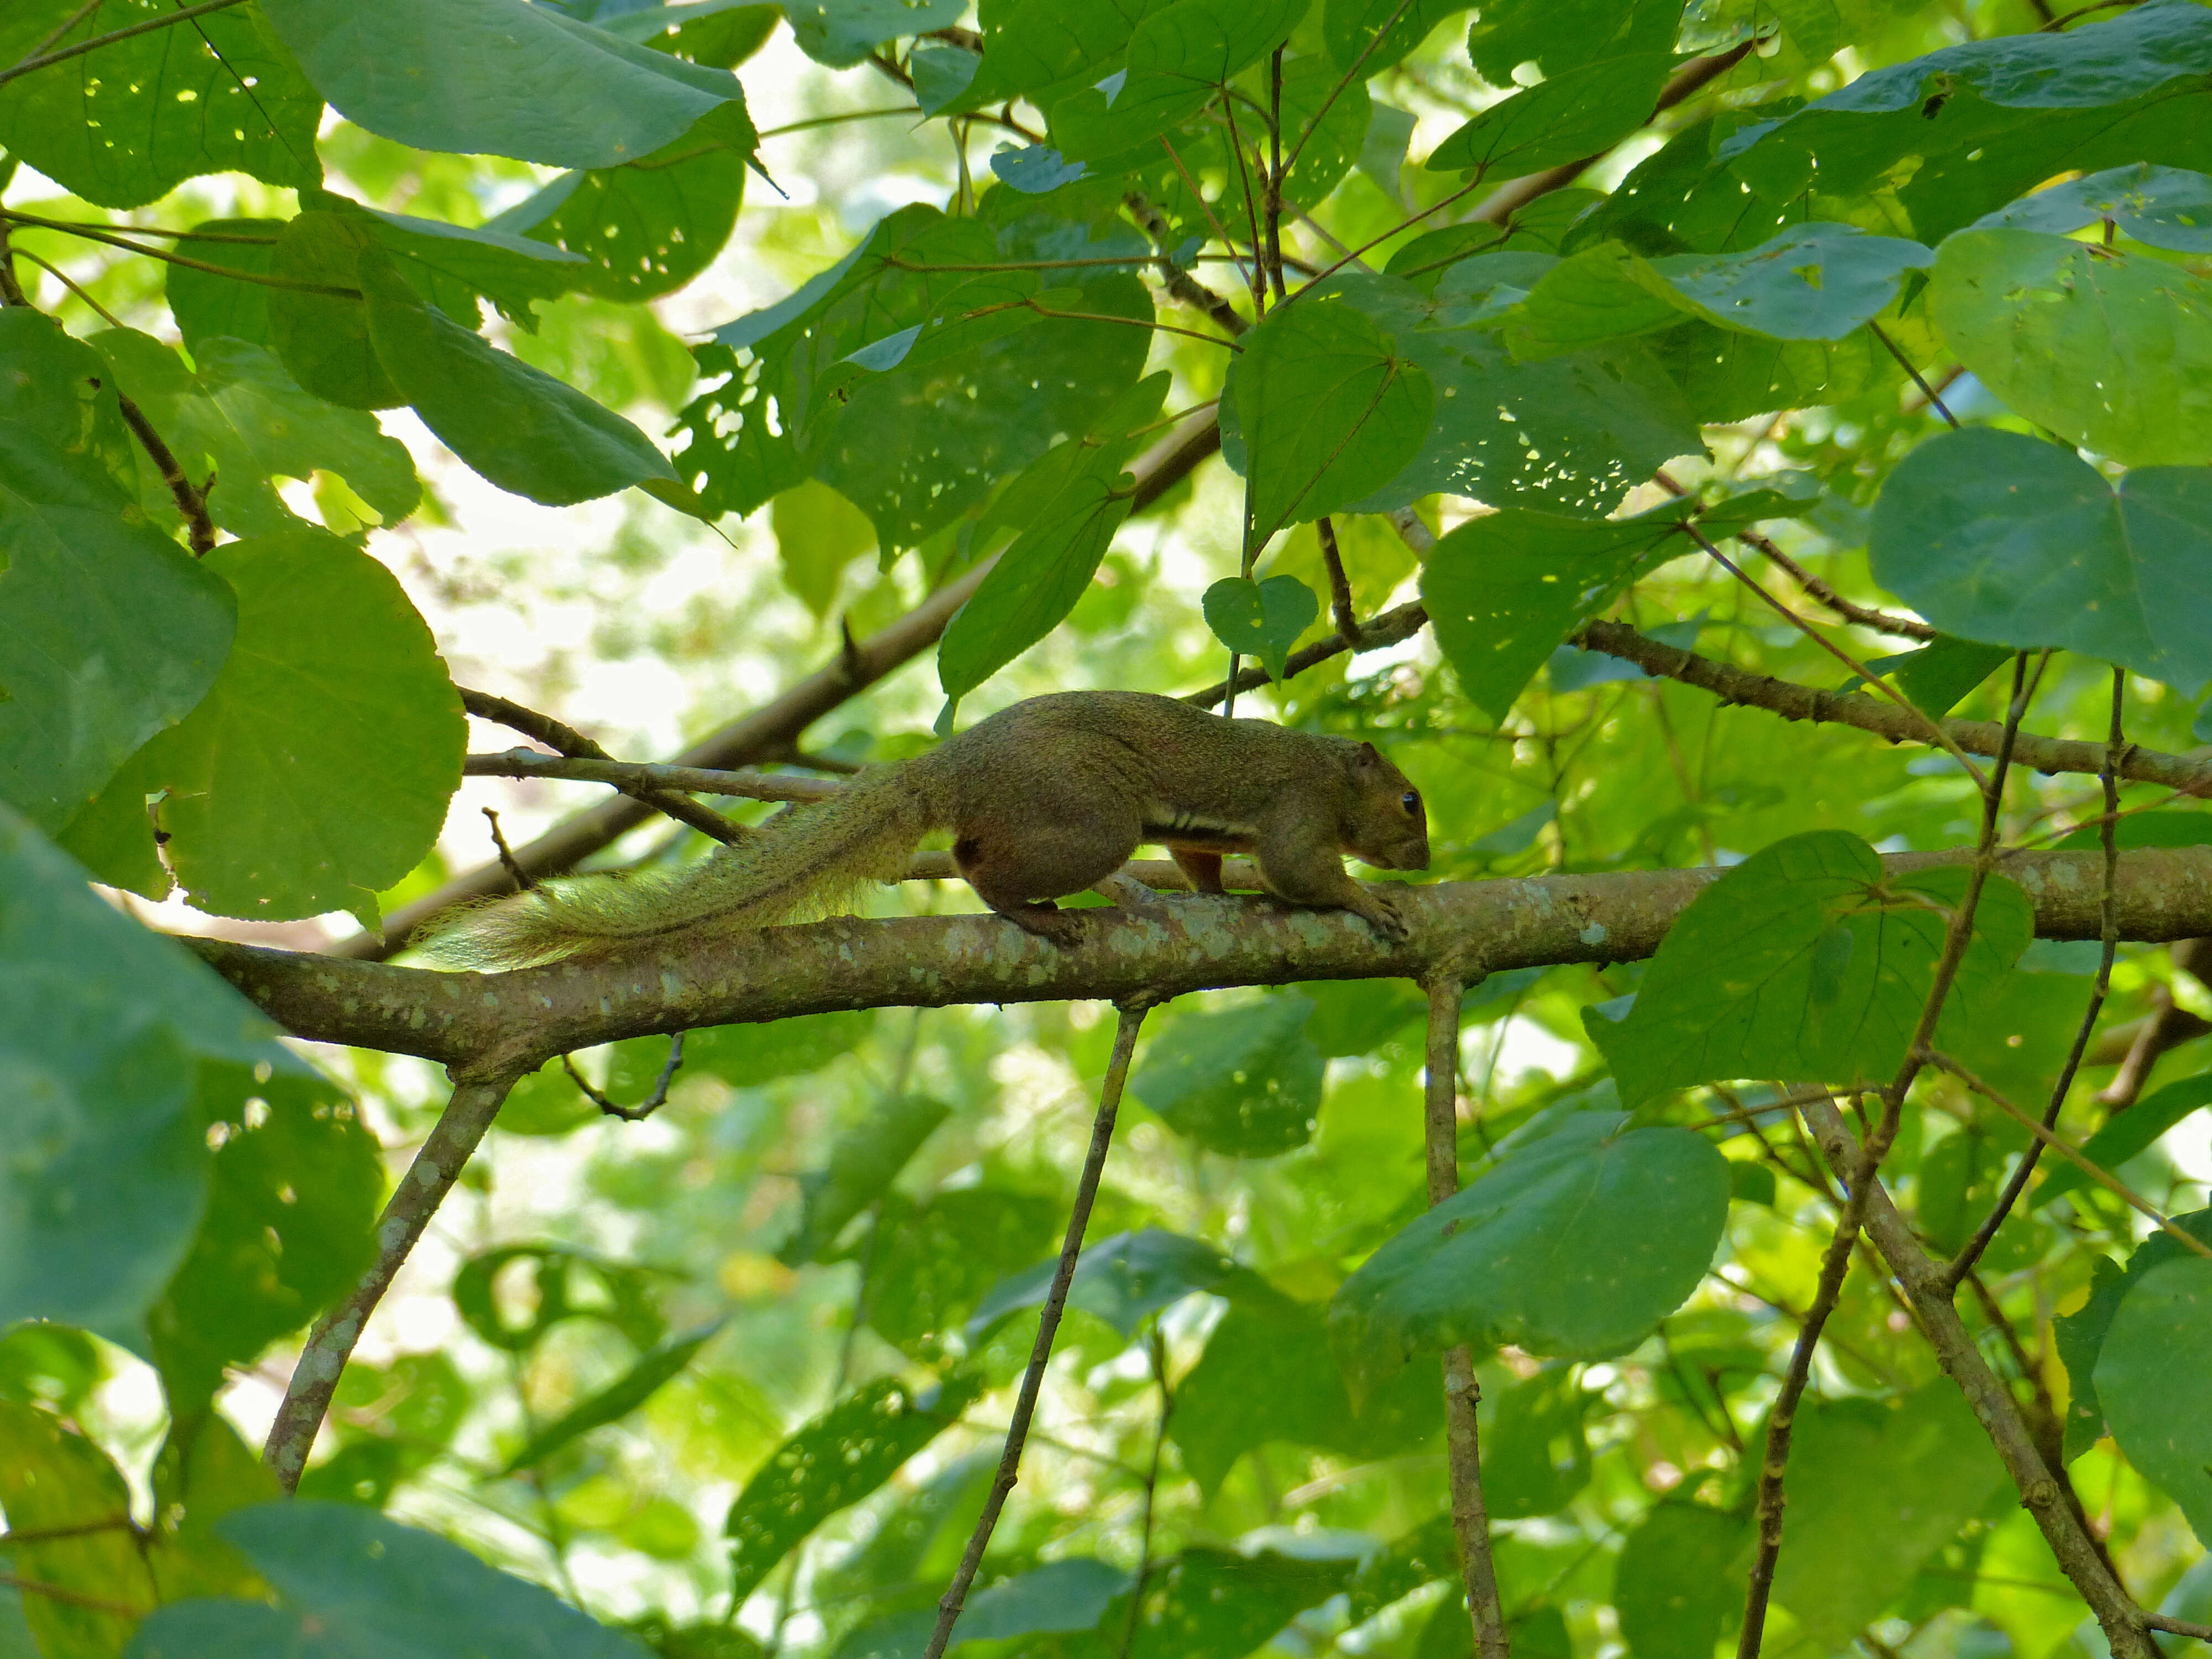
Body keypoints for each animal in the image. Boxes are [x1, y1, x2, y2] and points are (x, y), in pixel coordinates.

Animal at [431, 690, 1433, 973]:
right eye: (1412, 804)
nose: (1428, 858)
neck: (1331, 772)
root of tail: (952, 769)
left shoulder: (1212, 836)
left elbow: (1203, 861)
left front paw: (1223, 897)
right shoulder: (1298, 810)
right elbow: (1303, 872)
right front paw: (1368, 898)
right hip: (1094, 821)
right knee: (981, 869)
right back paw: (1031, 914)